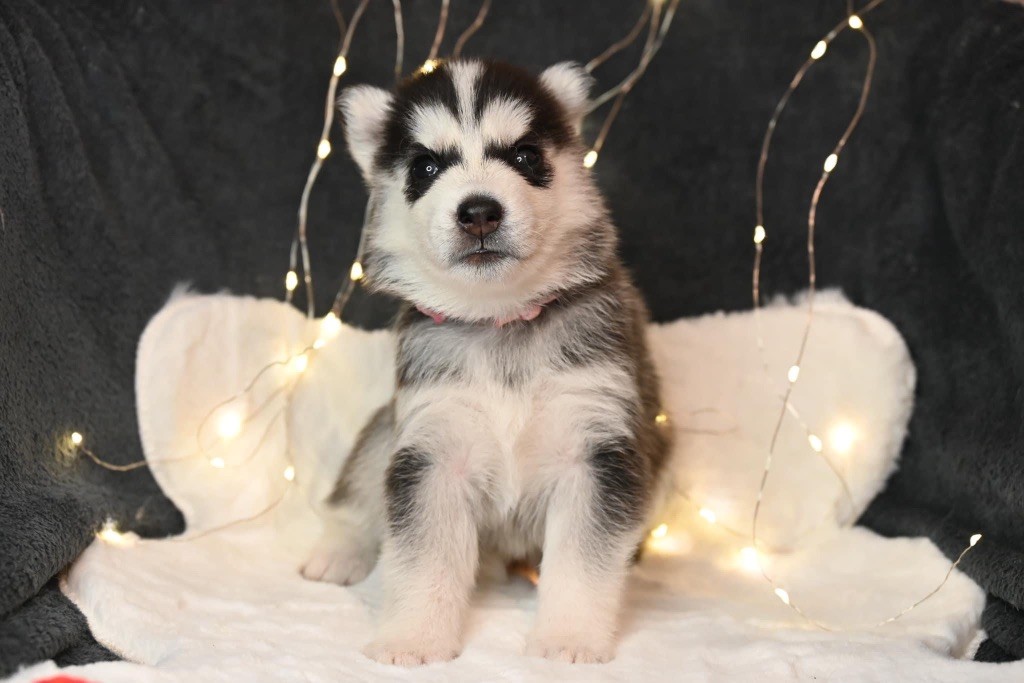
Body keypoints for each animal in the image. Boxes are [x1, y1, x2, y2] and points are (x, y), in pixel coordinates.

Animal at [301, 59, 671, 666]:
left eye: (525, 156)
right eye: (425, 166)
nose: (478, 211)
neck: (500, 321)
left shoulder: (596, 448)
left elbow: (584, 560)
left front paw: (569, 638)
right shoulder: (432, 448)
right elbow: (421, 557)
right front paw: (413, 639)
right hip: (386, 427)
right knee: (358, 487)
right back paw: (339, 550)